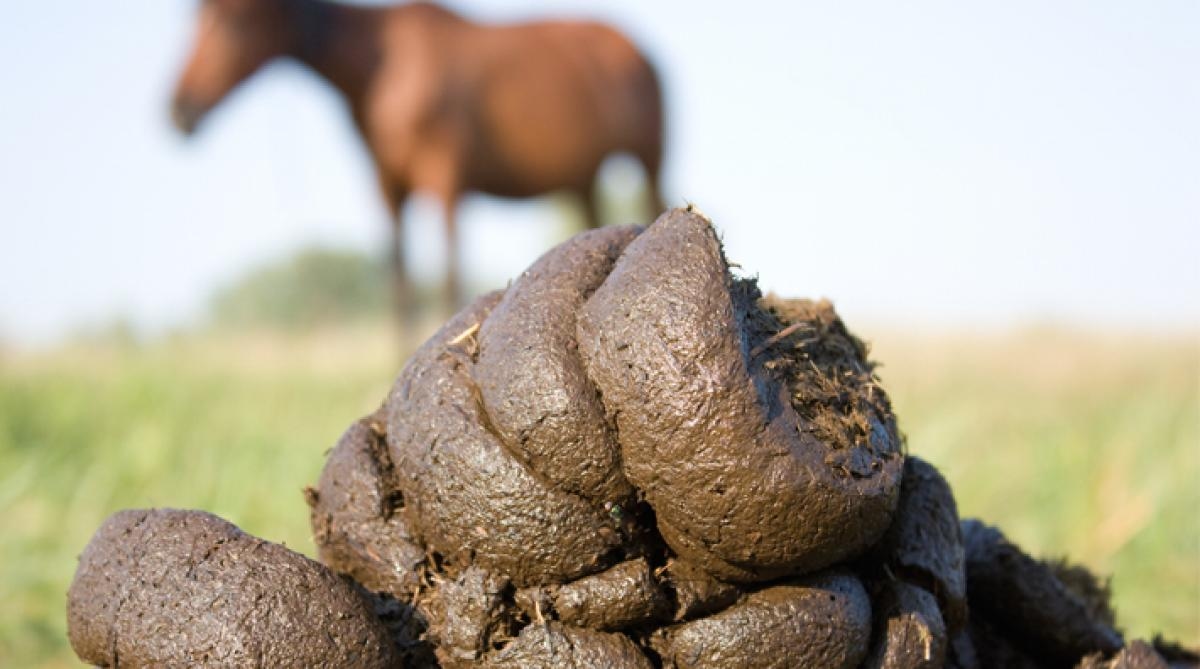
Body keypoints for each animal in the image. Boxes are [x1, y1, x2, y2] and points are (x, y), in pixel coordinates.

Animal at [171, 0, 667, 316]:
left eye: (234, 20)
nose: (178, 108)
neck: (382, 67)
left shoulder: (444, 175)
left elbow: (448, 275)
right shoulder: (387, 185)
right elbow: (400, 285)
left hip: (649, 159)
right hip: (583, 178)